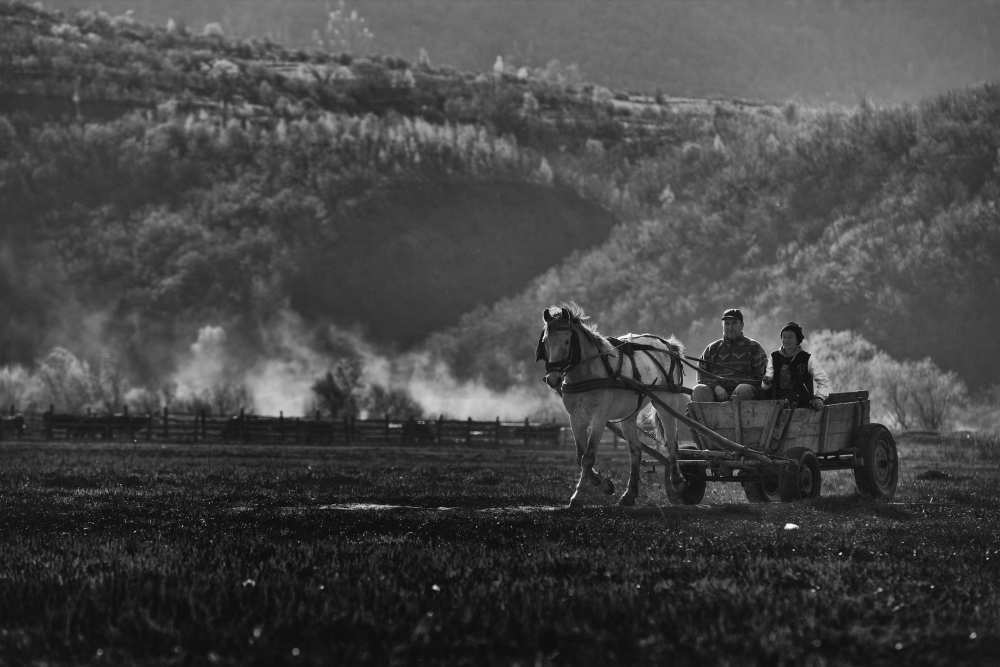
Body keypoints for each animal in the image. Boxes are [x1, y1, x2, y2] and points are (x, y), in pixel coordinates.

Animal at [536, 302, 692, 506]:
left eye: (567, 341)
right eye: (546, 341)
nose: (553, 378)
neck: (589, 373)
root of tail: (667, 345)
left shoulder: (599, 418)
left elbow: (588, 457)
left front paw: (578, 496)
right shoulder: (575, 418)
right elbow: (580, 456)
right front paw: (604, 484)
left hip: (665, 402)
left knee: (672, 442)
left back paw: (678, 481)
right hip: (629, 414)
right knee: (635, 450)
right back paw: (629, 494)